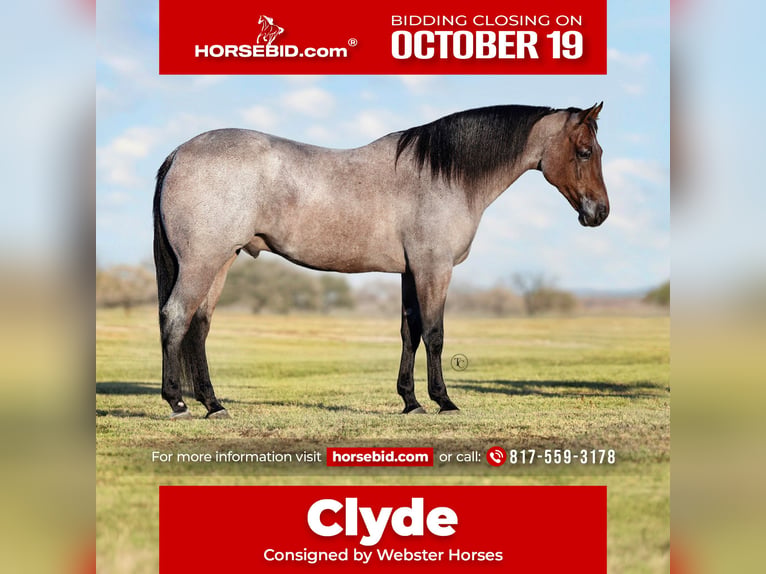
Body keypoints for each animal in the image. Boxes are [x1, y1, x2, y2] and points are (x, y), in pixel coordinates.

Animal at [153, 103, 609, 419]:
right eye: (586, 151)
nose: (600, 213)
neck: (442, 175)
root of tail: (179, 152)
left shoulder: (411, 272)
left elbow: (410, 333)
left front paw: (411, 402)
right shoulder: (434, 269)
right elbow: (435, 334)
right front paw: (444, 401)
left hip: (219, 262)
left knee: (199, 325)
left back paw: (213, 404)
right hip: (202, 262)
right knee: (175, 317)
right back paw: (178, 403)